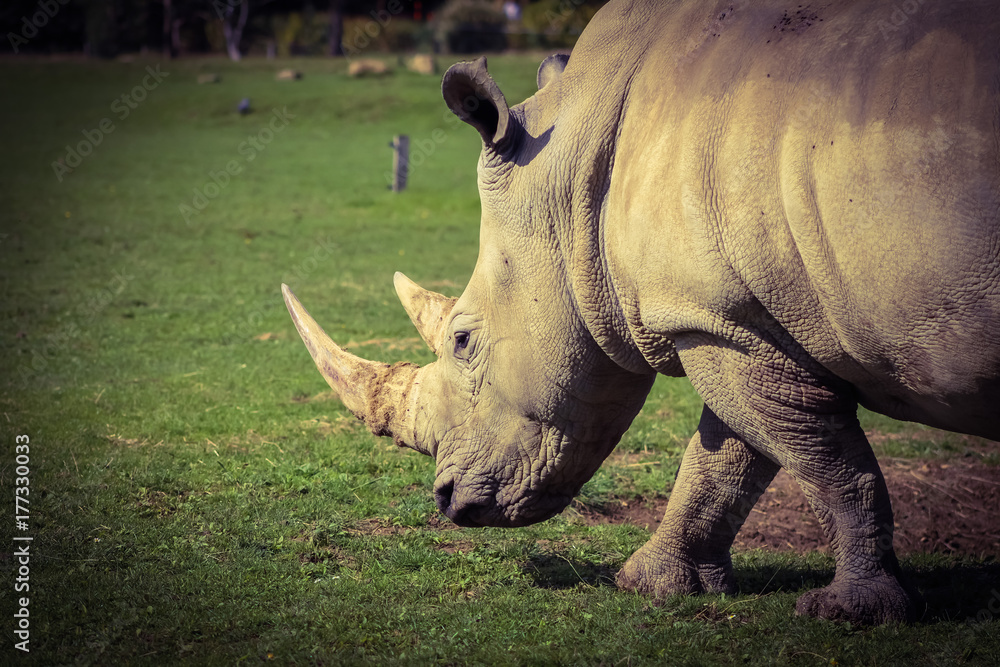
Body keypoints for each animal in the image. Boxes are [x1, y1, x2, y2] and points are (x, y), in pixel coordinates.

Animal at [282, 0, 1000, 625]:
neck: (573, 182)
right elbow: (728, 457)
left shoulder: (715, 318)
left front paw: (852, 613)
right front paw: (651, 584)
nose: (446, 500)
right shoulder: (724, 317)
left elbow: (825, 461)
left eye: (462, 340)